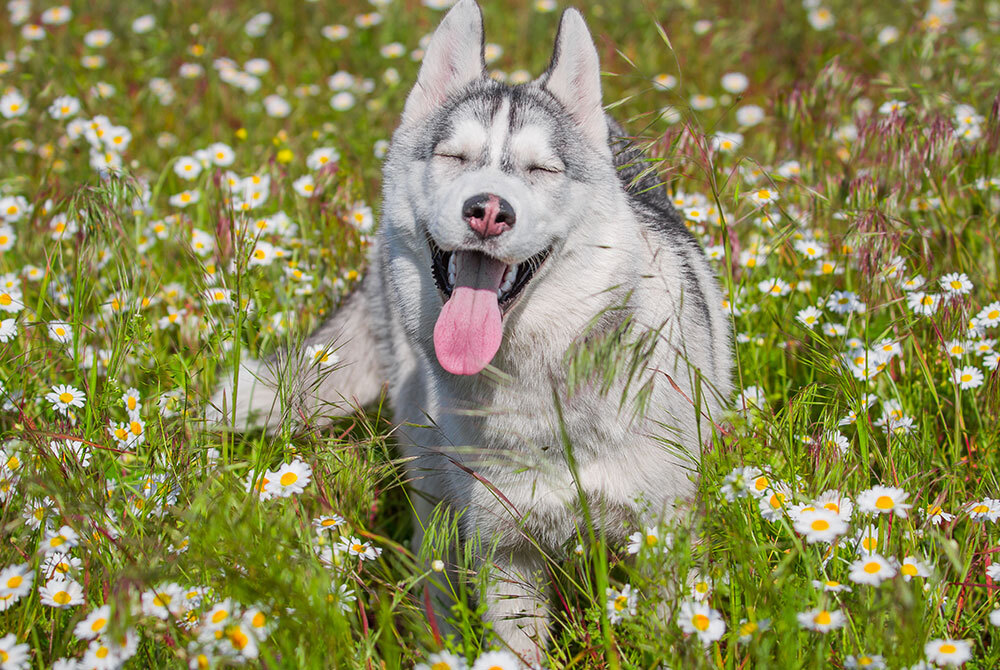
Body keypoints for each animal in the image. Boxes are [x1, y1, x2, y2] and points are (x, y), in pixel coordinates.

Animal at [211, 0, 732, 660]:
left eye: (541, 169)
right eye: (455, 159)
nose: (488, 210)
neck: (542, 395)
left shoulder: (664, 537)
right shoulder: (504, 552)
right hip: (435, 493)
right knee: (433, 570)